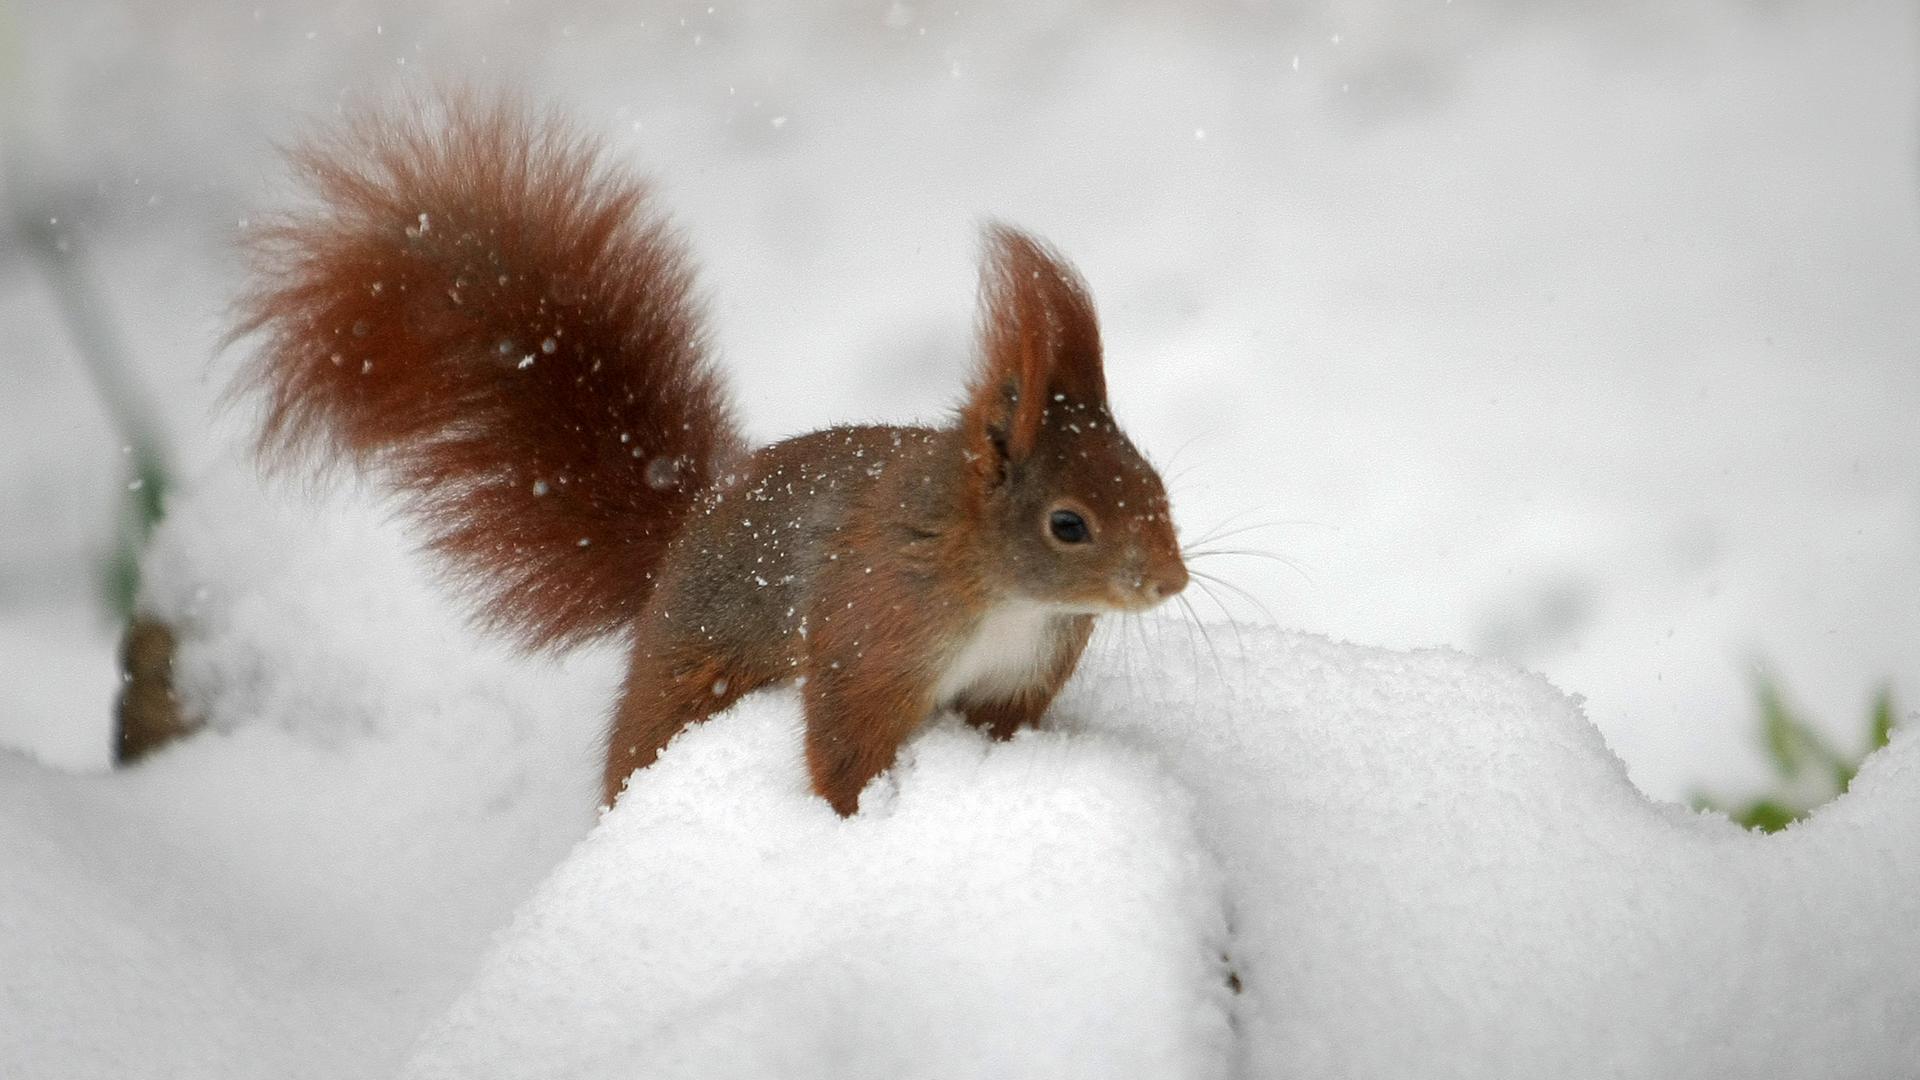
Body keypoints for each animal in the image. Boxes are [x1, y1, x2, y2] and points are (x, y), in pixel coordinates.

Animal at [231, 93, 1189, 815]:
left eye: (1156, 482)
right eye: (1069, 524)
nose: (1173, 581)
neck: (1001, 588)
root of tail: (682, 536)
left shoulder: (1019, 678)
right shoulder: (874, 633)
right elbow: (843, 747)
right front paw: (853, 824)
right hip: (684, 686)